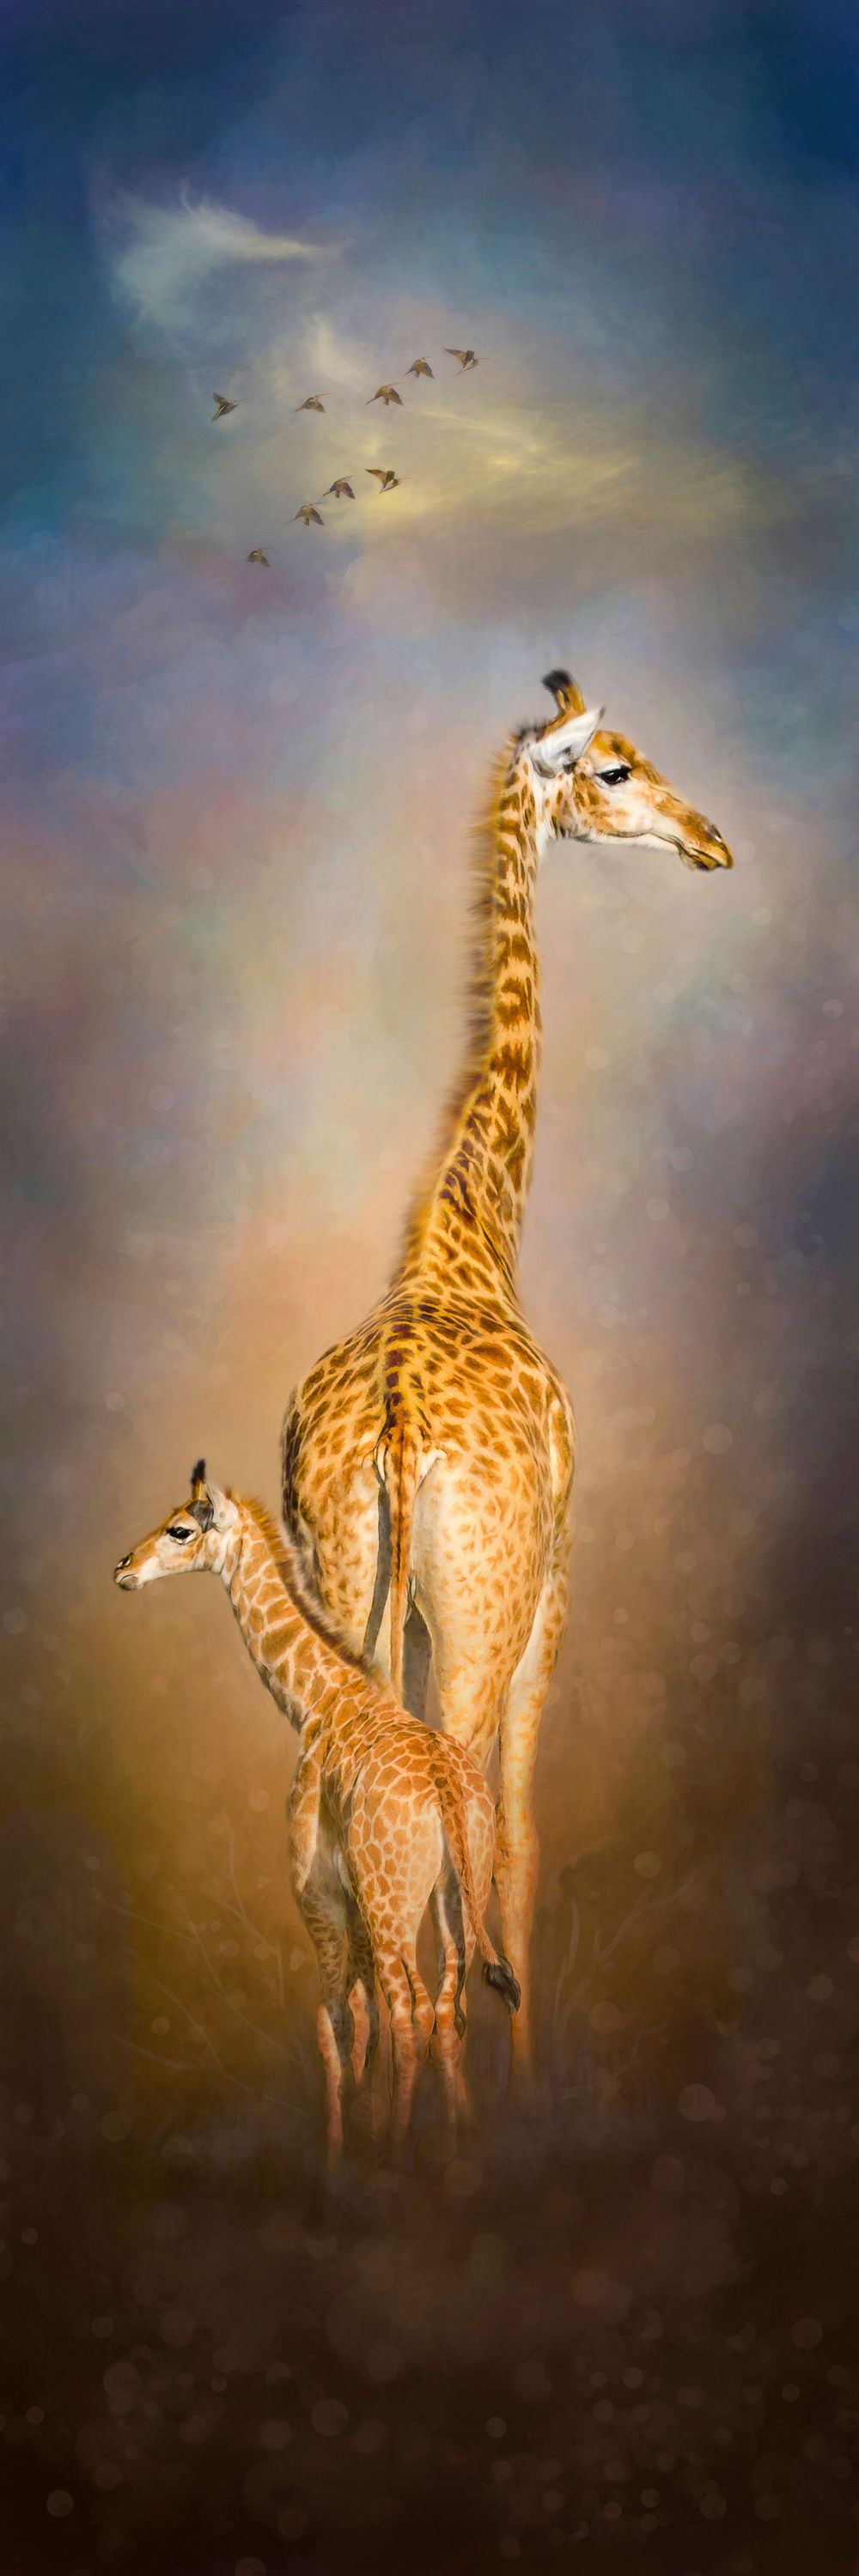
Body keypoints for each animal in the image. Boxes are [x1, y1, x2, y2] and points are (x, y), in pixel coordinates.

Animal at [114, 1461, 519, 2164]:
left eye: (181, 1529)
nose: (124, 1569)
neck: (318, 1699)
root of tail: (447, 1788)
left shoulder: (319, 1889)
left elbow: (332, 2021)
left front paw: (336, 2158)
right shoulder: (353, 1900)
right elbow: (359, 2020)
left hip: (391, 1905)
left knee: (410, 2009)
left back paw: (396, 2152)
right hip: (451, 1899)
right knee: (447, 2009)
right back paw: (455, 2145)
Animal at [282, 668, 734, 2094]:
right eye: (613, 766)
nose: (712, 840)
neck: (472, 1237)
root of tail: (390, 1436)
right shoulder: (554, 1579)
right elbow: (524, 1841)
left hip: (349, 1604)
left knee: (363, 1879)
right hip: (481, 1615)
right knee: (462, 1827)